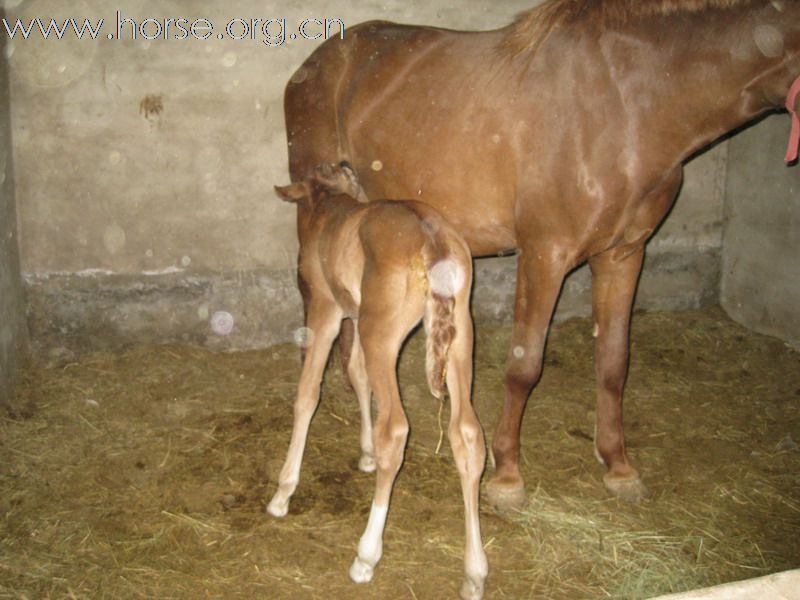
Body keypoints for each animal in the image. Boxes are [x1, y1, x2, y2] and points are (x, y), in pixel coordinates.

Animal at [268, 162, 488, 596]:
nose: (346, 164)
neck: (329, 207)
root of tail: (433, 242)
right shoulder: (353, 312)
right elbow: (356, 374)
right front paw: (365, 453)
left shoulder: (326, 309)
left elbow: (308, 392)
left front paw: (283, 492)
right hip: (459, 334)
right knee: (467, 433)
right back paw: (474, 572)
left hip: (381, 333)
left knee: (396, 429)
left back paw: (366, 556)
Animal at [282, 0, 800, 508]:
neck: (629, 102)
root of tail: (315, 64)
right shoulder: (544, 255)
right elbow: (524, 365)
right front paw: (507, 475)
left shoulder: (623, 254)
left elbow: (613, 362)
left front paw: (618, 465)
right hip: (317, 212)